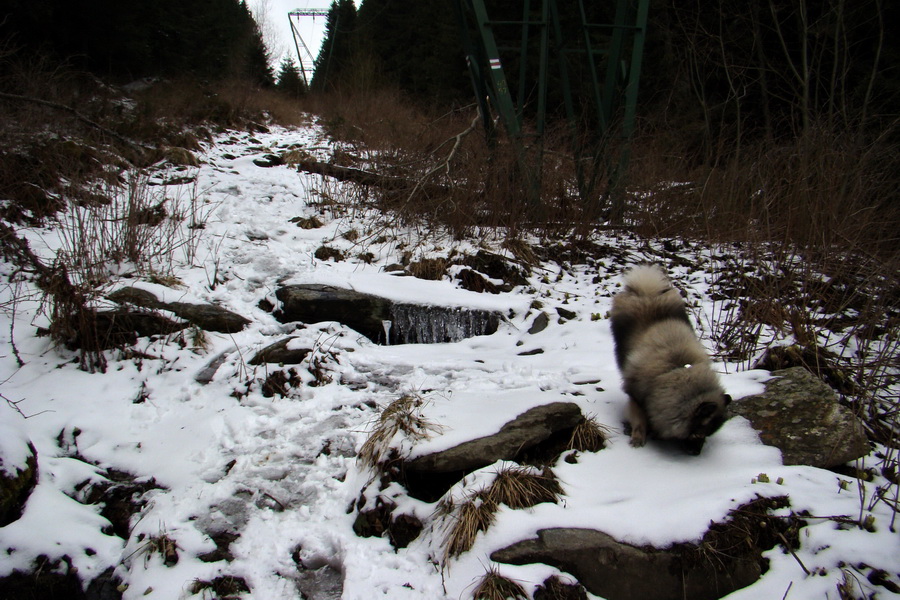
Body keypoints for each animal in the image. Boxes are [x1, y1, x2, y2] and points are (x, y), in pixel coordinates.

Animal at [612, 264, 732, 452]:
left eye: (706, 436)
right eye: (697, 434)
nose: (696, 453)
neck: (676, 369)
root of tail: (648, 291)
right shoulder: (636, 397)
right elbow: (639, 420)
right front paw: (638, 437)